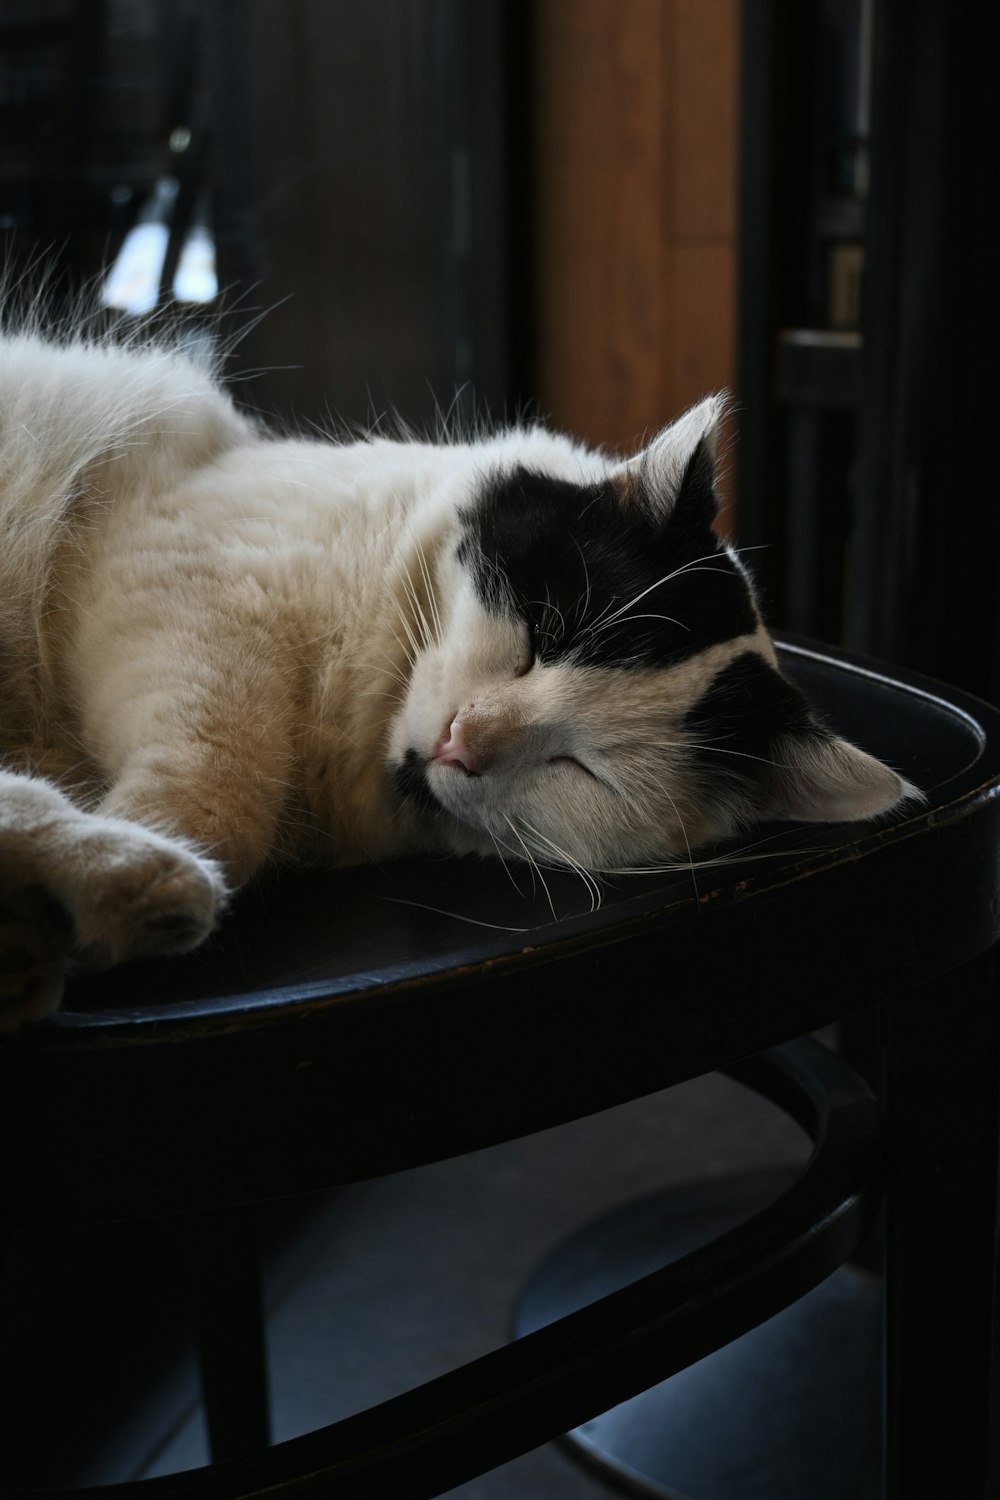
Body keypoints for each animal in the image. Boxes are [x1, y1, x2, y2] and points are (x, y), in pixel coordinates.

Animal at [0, 310, 917, 1026]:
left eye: (586, 769)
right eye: (541, 633)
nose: (461, 740)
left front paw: (89, 900)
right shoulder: (181, 570)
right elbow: (225, 778)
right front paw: (140, 851)